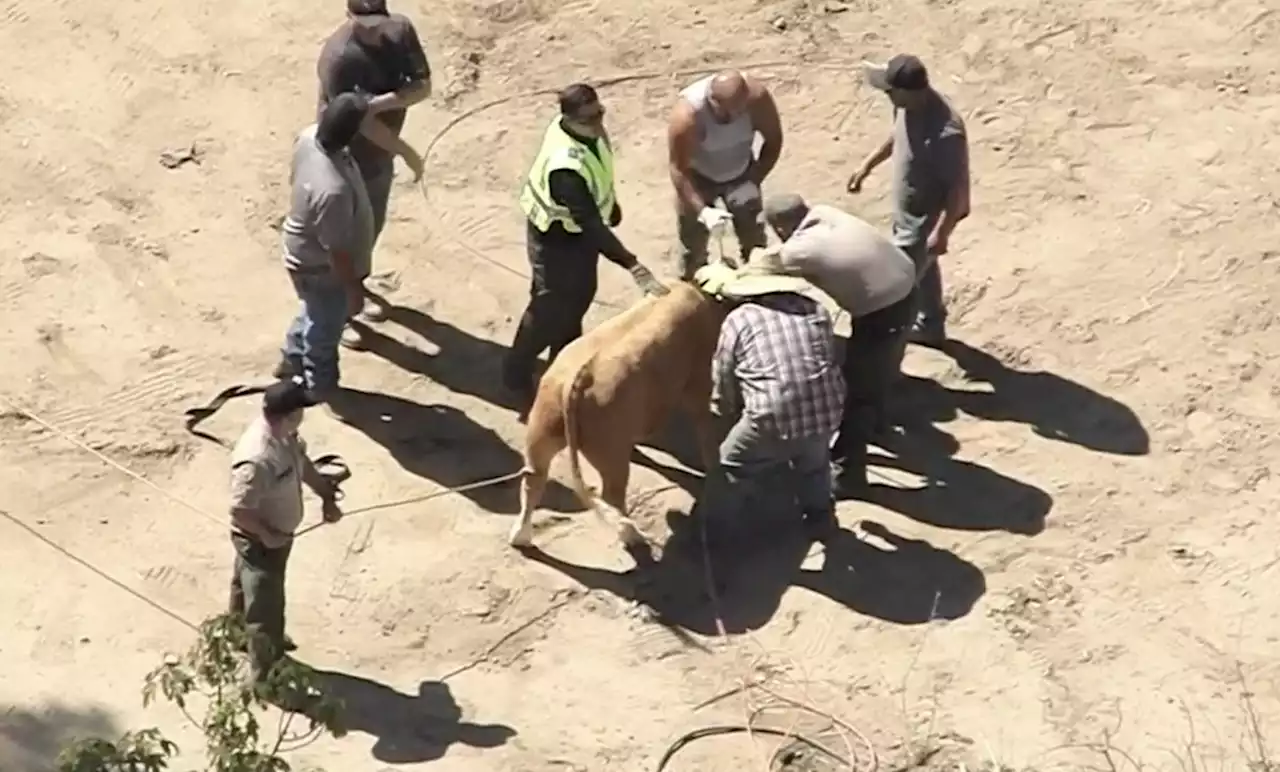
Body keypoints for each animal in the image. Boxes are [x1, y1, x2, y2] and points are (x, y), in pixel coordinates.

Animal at [506, 280, 732, 553]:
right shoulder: (698, 374)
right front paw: (715, 468)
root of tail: (577, 379)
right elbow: (702, 420)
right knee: (612, 491)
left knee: (534, 476)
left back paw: (520, 537)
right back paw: (631, 536)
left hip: (545, 414)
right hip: (607, 432)